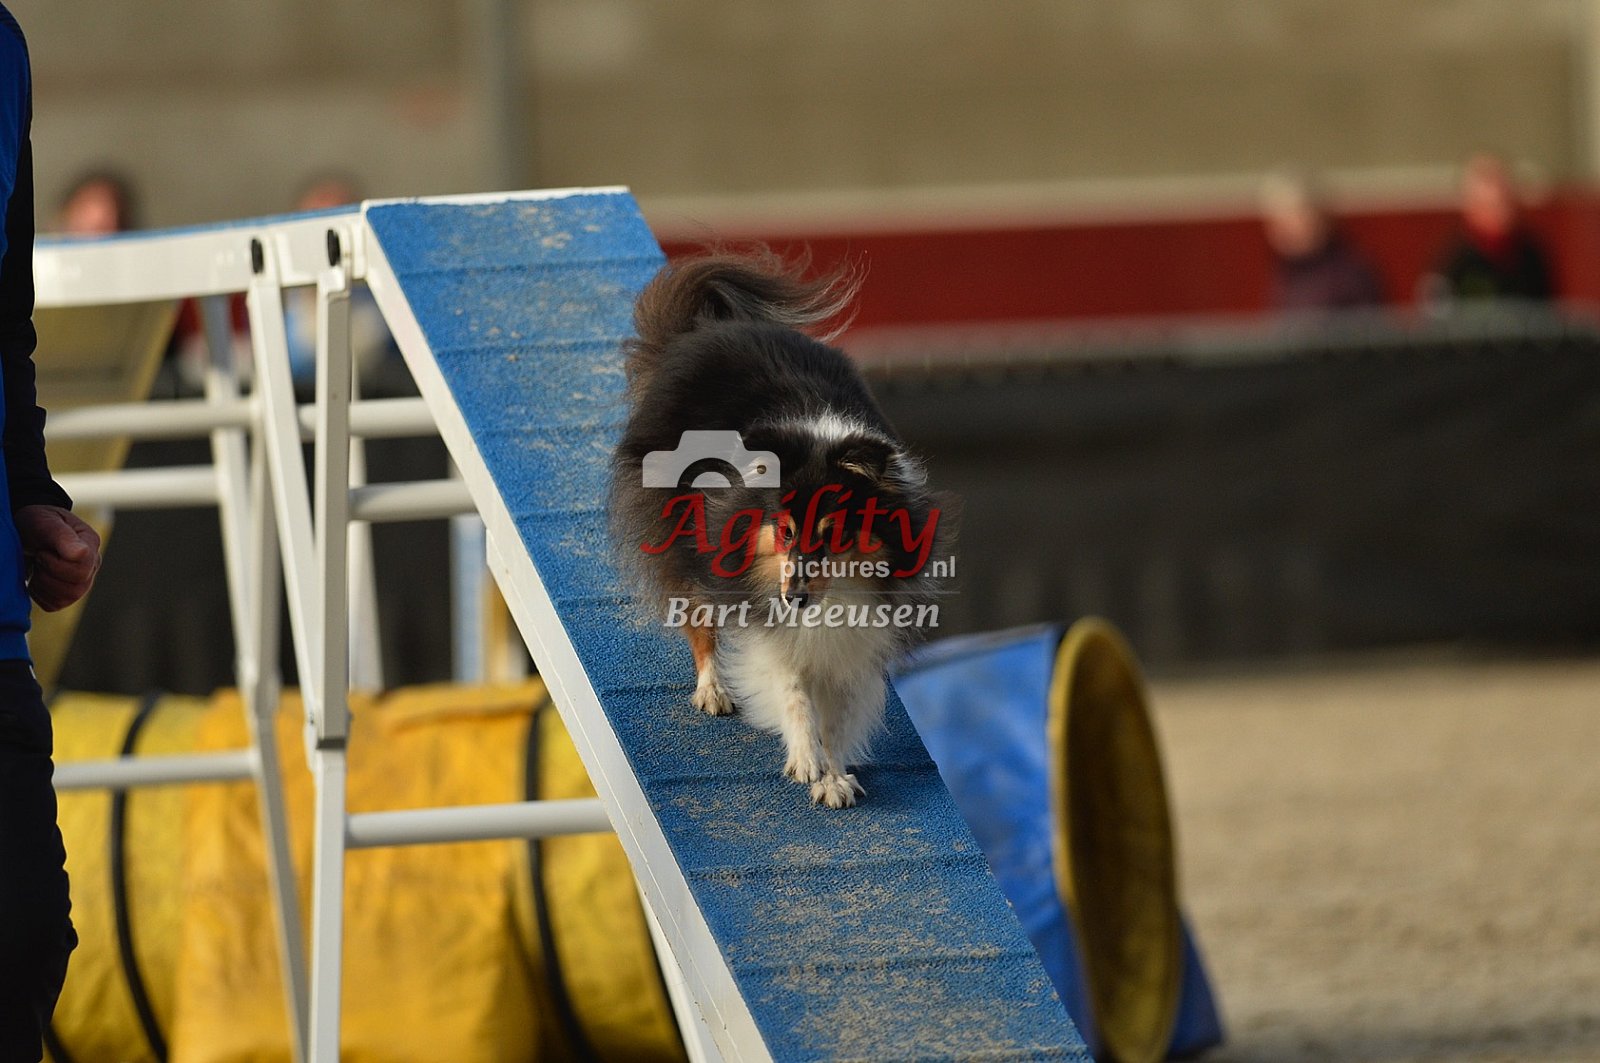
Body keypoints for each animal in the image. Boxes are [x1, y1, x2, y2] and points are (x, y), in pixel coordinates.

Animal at [609, 251, 948, 807]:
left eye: (832, 533)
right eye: (785, 531)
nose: (795, 598)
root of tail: (708, 330)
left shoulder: (856, 634)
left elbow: (840, 712)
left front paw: (835, 776)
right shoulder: (764, 613)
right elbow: (791, 686)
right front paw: (806, 760)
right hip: (678, 530)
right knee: (697, 615)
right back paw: (713, 690)